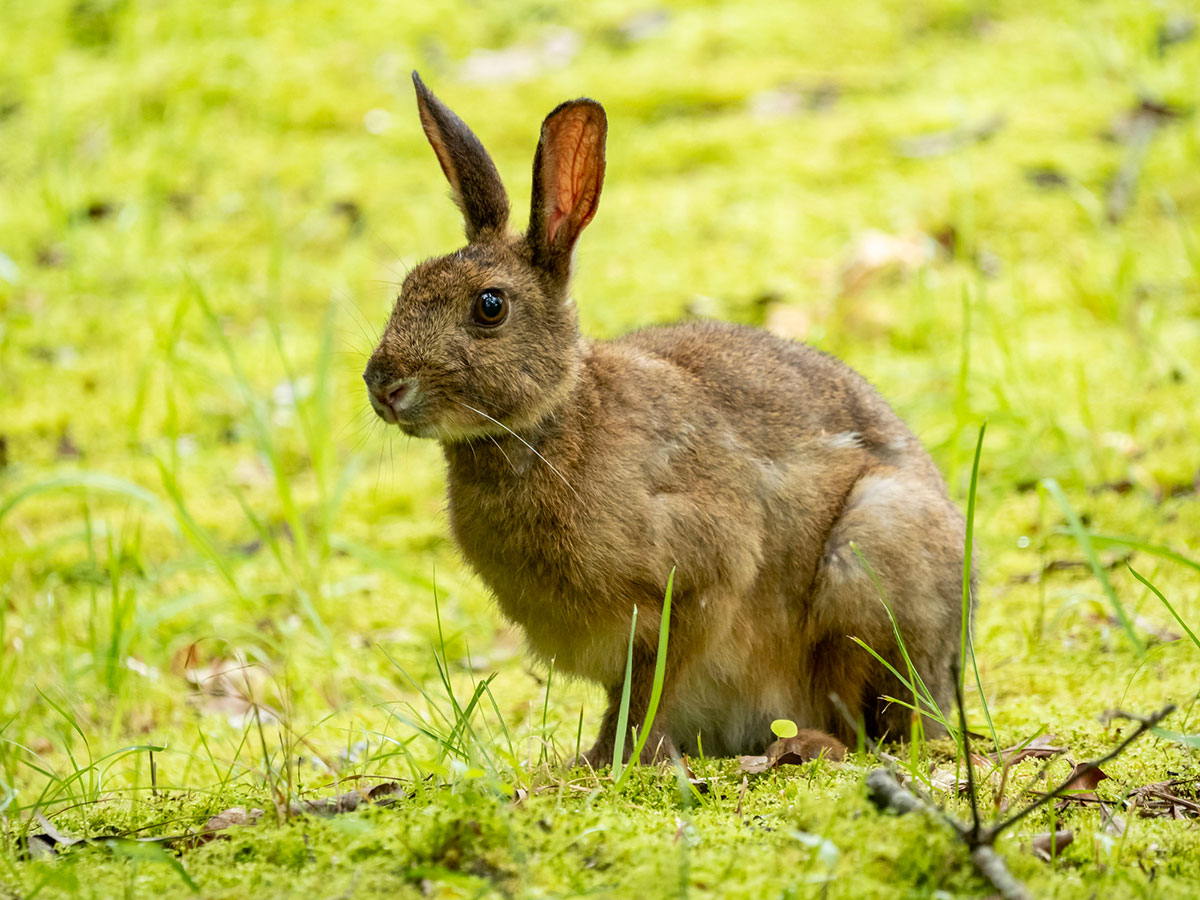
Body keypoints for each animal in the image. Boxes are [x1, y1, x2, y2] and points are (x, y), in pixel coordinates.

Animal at [360, 74, 969, 768]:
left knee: (863, 714)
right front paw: (593, 761)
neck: (553, 424)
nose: (382, 385)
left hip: (869, 561)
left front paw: (614, 762)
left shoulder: (703, 577)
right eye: (406, 287)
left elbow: (653, 685)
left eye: (490, 307)